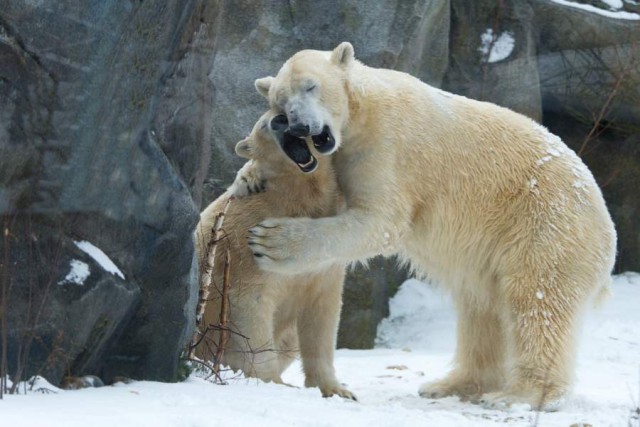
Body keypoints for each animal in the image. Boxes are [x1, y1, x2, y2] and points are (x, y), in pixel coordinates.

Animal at [195, 110, 356, 402]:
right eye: (263, 124)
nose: (280, 121)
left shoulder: (326, 264)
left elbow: (322, 315)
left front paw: (338, 390)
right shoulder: (245, 245)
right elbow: (251, 305)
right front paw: (274, 382)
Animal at [244, 41, 616, 412]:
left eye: (311, 86)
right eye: (279, 102)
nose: (300, 127)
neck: (363, 110)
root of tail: (606, 224)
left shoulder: (385, 147)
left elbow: (380, 220)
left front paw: (272, 241)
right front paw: (249, 177)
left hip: (545, 225)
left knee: (536, 302)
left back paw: (520, 394)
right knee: (482, 309)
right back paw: (451, 384)